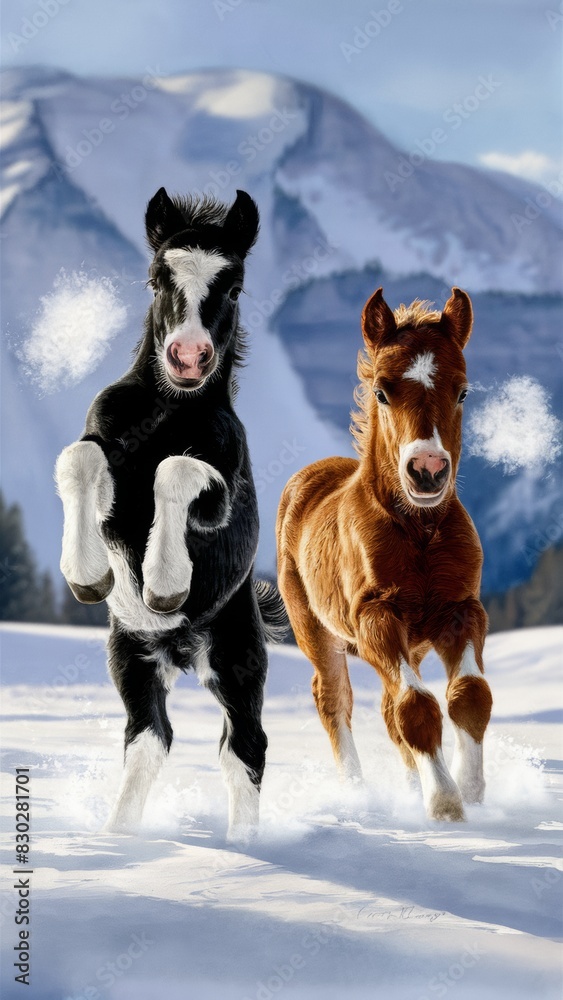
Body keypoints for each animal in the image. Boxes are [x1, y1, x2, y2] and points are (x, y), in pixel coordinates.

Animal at [55, 187, 286, 842]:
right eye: (158, 278)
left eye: (233, 286)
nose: (187, 357)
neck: (168, 413)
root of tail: (180, 650)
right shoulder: (104, 453)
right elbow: (79, 458)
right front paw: (90, 577)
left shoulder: (221, 488)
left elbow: (177, 471)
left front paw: (164, 585)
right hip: (129, 657)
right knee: (149, 736)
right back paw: (117, 838)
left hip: (235, 660)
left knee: (245, 745)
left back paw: (245, 849)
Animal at [276, 287, 492, 821]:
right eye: (381, 391)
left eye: (462, 391)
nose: (428, 471)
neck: (419, 532)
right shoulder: (376, 617)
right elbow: (416, 707)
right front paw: (445, 805)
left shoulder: (461, 611)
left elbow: (469, 695)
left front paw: (472, 791)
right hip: (316, 630)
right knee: (334, 699)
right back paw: (357, 796)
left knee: (387, 711)